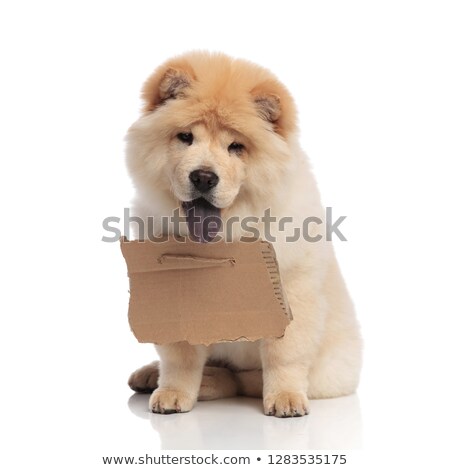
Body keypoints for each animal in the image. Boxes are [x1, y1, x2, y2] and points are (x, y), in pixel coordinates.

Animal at [125, 52, 362, 418]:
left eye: (236, 146)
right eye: (185, 137)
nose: (204, 177)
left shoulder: (292, 291)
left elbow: (284, 353)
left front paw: (286, 399)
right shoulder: (170, 296)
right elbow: (179, 355)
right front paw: (173, 393)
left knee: (245, 380)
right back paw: (154, 375)